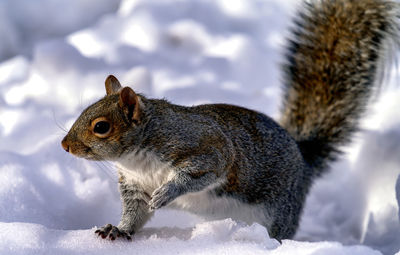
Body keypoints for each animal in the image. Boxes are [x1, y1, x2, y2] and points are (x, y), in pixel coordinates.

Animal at [60, 0, 400, 241]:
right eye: (84, 109)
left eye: (101, 127)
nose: (65, 146)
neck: (137, 159)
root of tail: (303, 161)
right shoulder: (134, 186)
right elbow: (135, 214)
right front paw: (118, 230)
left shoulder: (206, 149)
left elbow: (202, 171)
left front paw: (167, 192)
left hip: (281, 211)